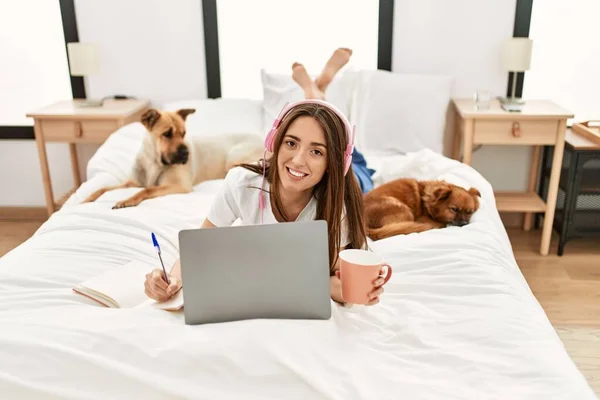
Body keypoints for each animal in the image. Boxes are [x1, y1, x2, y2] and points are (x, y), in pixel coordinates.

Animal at [82, 108, 264, 211]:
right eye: (167, 134)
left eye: (183, 133)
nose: (186, 153)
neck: (154, 162)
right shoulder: (133, 182)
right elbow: (103, 188)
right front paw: (87, 199)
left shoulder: (179, 185)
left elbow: (148, 190)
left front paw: (127, 200)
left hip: (234, 157)